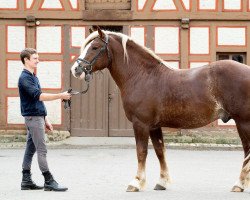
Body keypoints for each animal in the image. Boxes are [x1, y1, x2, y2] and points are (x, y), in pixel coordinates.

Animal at [71, 26, 250, 192]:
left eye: (95, 47)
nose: (75, 69)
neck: (142, 76)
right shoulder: (154, 126)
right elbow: (159, 151)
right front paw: (161, 182)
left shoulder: (140, 124)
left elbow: (141, 151)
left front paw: (136, 183)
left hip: (243, 122)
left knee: (247, 151)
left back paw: (239, 184)